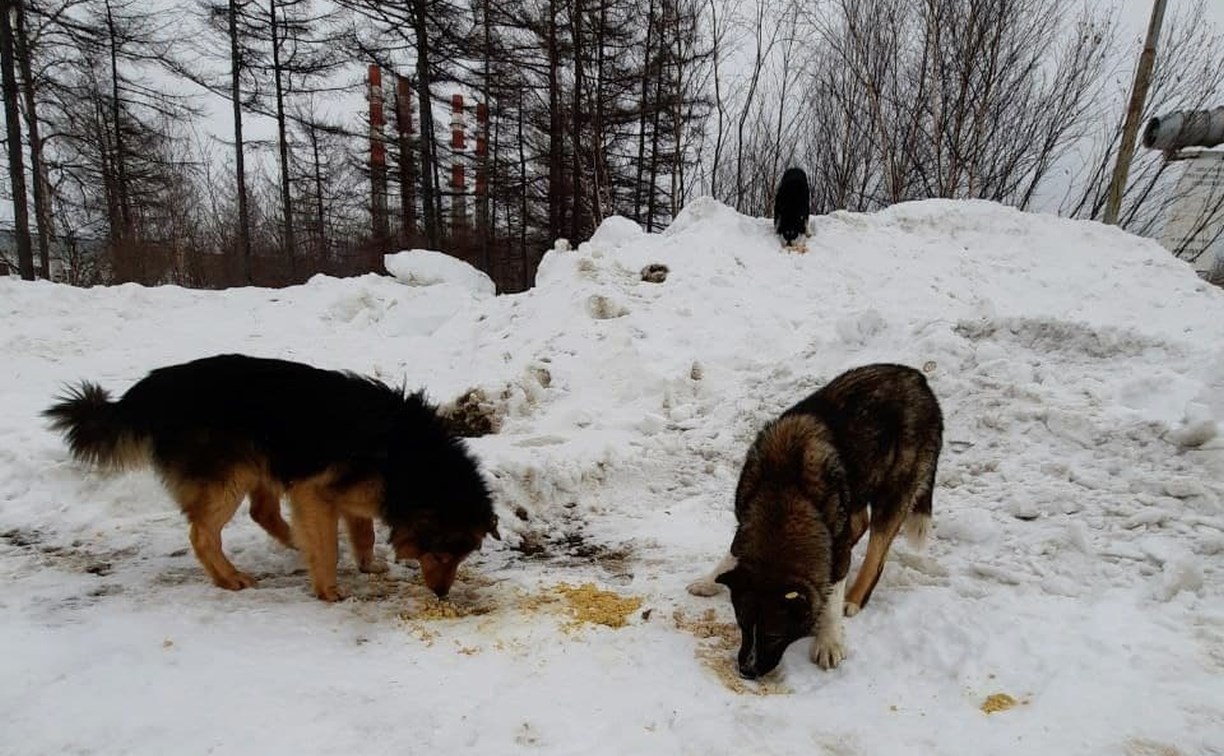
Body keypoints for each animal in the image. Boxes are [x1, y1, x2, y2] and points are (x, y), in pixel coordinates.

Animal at [45, 352, 499, 599]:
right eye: (441, 555)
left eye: (460, 557)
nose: (442, 594)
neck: (413, 461)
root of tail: (154, 386)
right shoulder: (314, 491)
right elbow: (330, 548)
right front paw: (329, 589)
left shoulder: (352, 495)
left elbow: (363, 532)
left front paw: (368, 565)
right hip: (229, 478)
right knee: (202, 534)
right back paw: (230, 577)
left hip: (259, 467)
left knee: (261, 513)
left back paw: (291, 543)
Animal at [695, 364, 940, 675]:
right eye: (742, 626)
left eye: (773, 635)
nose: (747, 671)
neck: (784, 492)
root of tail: (917, 377)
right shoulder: (745, 518)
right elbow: (730, 556)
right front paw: (709, 580)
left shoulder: (835, 550)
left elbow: (833, 594)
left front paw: (829, 641)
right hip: (855, 487)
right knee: (858, 522)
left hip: (894, 491)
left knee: (876, 555)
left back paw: (854, 598)